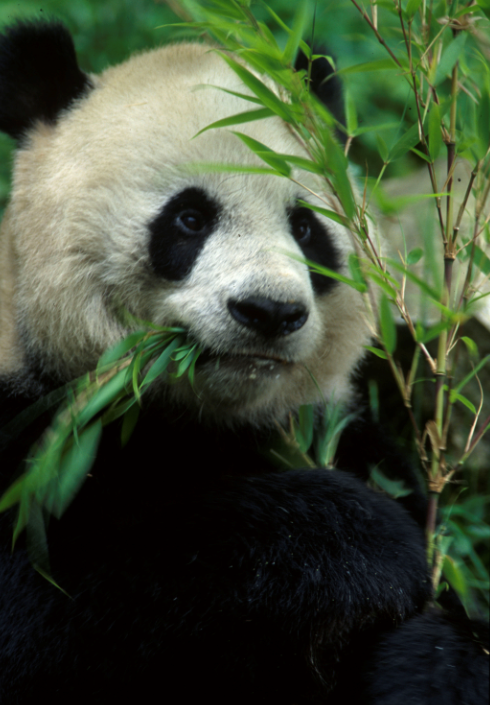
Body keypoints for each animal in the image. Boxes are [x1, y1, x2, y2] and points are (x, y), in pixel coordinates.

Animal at [0, 19, 487, 705]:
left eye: (306, 228)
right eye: (189, 217)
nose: (270, 311)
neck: (201, 421)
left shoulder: (346, 432)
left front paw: (432, 657)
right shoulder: (32, 432)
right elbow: (71, 598)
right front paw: (368, 542)